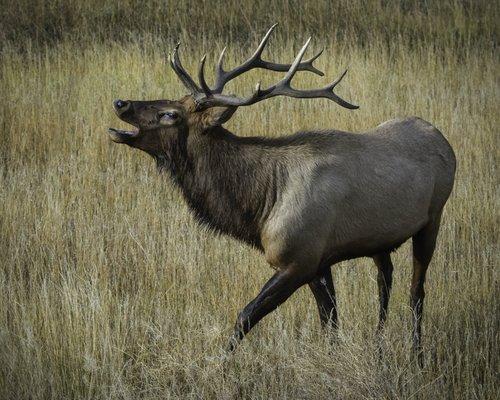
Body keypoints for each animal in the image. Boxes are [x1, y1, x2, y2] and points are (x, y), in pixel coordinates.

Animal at [108, 24, 458, 362]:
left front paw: (218, 365)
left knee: (416, 292)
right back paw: (379, 346)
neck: (260, 207)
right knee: (385, 281)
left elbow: (246, 316)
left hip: (433, 218)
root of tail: (443, 140)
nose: (121, 103)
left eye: (171, 114)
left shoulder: (297, 259)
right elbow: (330, 321)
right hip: (380, 240)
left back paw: (416, 356)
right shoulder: (319, 261)